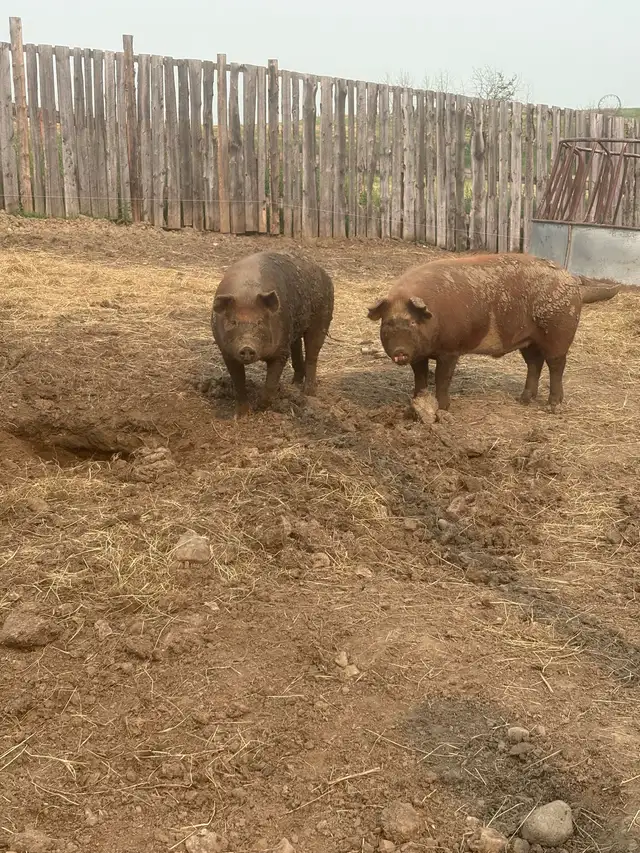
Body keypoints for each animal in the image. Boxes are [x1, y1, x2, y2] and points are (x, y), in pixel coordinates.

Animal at [211, 251, 334, 415]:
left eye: (260, 322)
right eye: (233, 322)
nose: (247, 347)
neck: (246, 293)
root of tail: (325, 274)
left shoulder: (281, 351)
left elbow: (271, 383)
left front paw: (260, 407)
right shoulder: (227, 352)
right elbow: (238, 383)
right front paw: (242, 415)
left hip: (322, 319)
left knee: (312, 354)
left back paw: (308, 392)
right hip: (294, 330)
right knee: (297, 349)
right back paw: (294, 384)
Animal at [367, 253, 620, 411]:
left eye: (411, 323)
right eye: (387, 323)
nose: (400, 352)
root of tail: (574, 283)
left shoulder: (451, 350)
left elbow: (442, 378)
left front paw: (443, 408)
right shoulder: (419, 354)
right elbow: (419, 377)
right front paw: (416, 402)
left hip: (557, 333)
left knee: (556, 365)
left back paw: (552, 407)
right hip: (528, 340)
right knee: (534, 364)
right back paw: (523, 400)